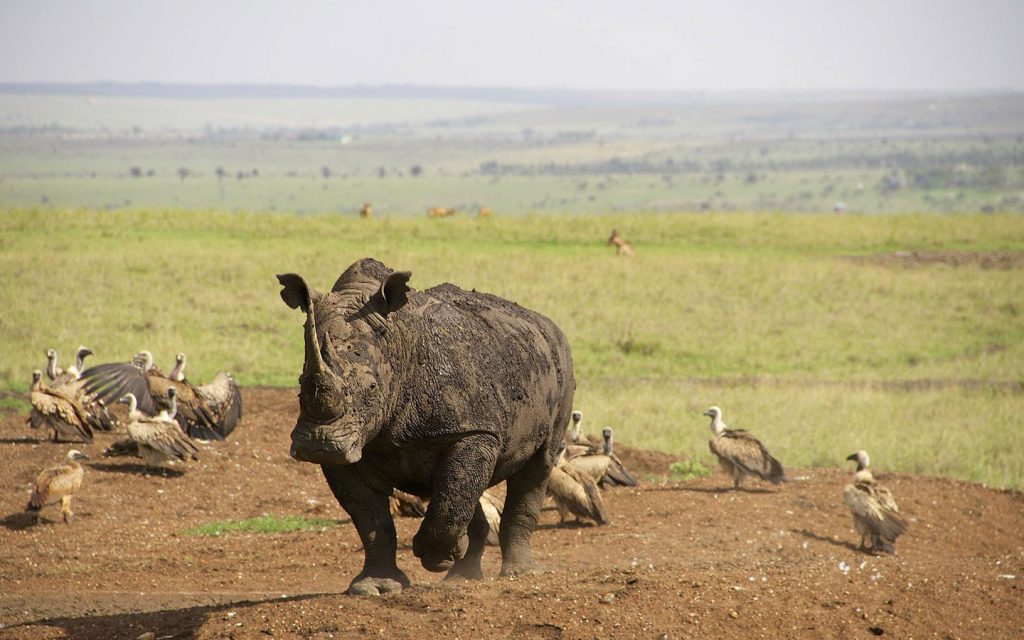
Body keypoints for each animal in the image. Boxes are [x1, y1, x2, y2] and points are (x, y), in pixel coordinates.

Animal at [277, 258, 575, 595]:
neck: (398, 341)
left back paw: (519, 574)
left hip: (561, 364)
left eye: (371, 388)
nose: (319, 444)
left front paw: (438, 556)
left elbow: (450, 499)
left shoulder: (472, 429)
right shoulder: (351, 446)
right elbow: (371, 520)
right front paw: (374, 586)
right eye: (301, 384)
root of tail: (545, 323)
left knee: (538, 464)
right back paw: (463, 576)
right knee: (465, 486)